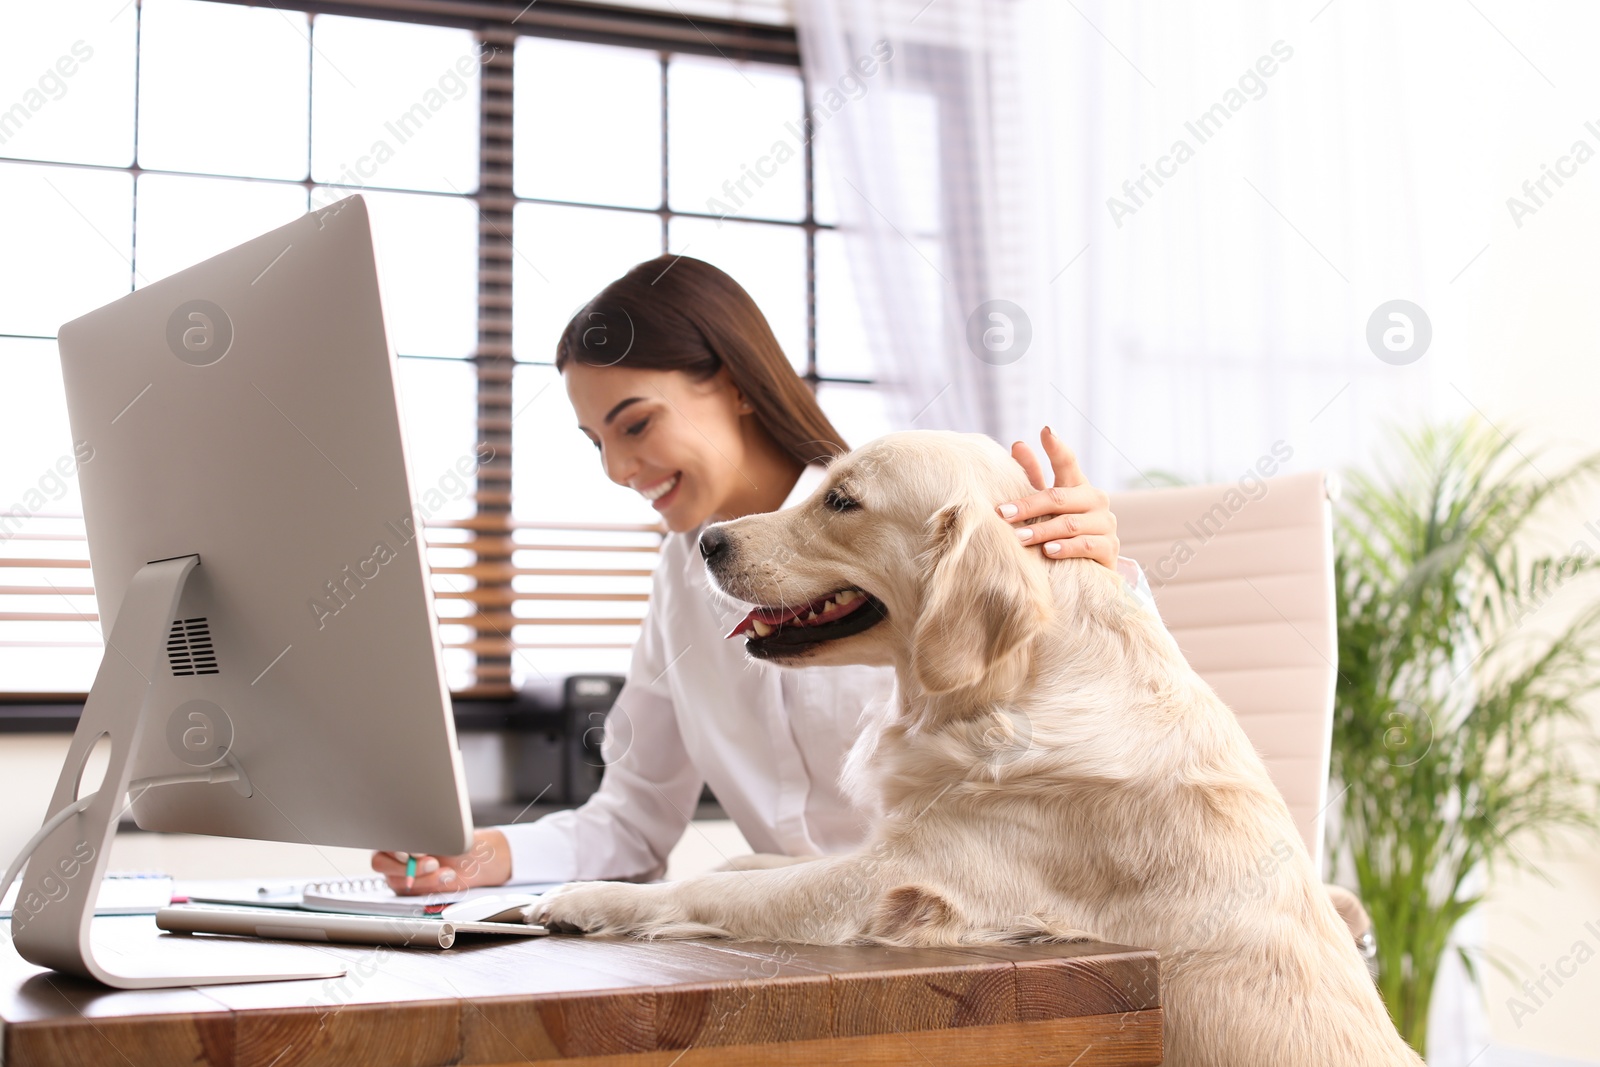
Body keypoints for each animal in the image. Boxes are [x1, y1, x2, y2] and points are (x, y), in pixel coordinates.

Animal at [540, 428, 1427, 1062]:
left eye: (842, 500)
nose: (708, 541)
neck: (1008, 689)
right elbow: (751, 862)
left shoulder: (897, 881)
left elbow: (715, 892)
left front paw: (587, 898)